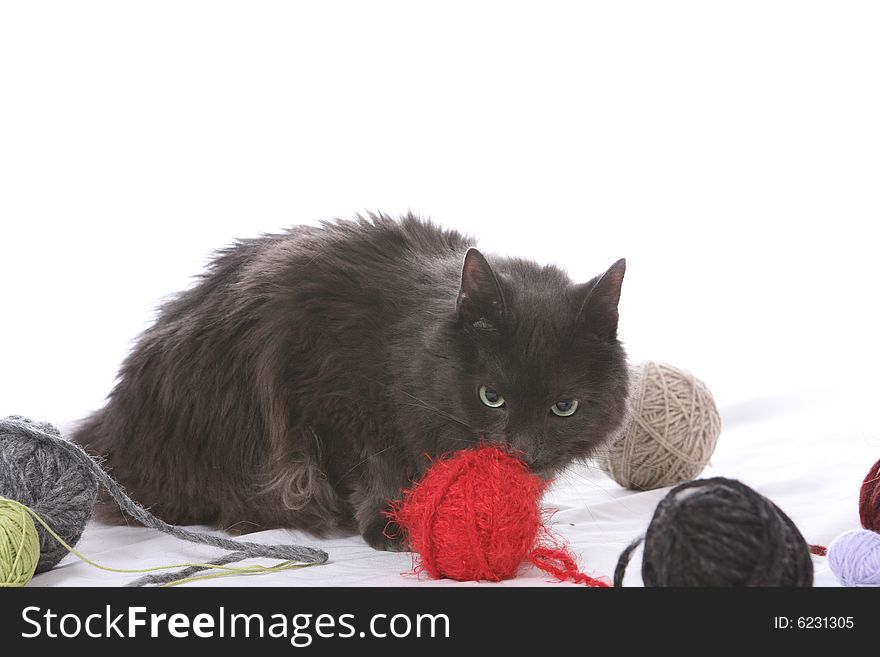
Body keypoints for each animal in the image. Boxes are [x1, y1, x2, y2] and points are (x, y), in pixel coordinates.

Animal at [72, 214, 628, 548]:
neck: (400, 342)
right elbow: (376, 472)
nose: (522, 451)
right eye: (492, 397)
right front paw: (389, 525)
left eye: (564, 408)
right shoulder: (330, 405)